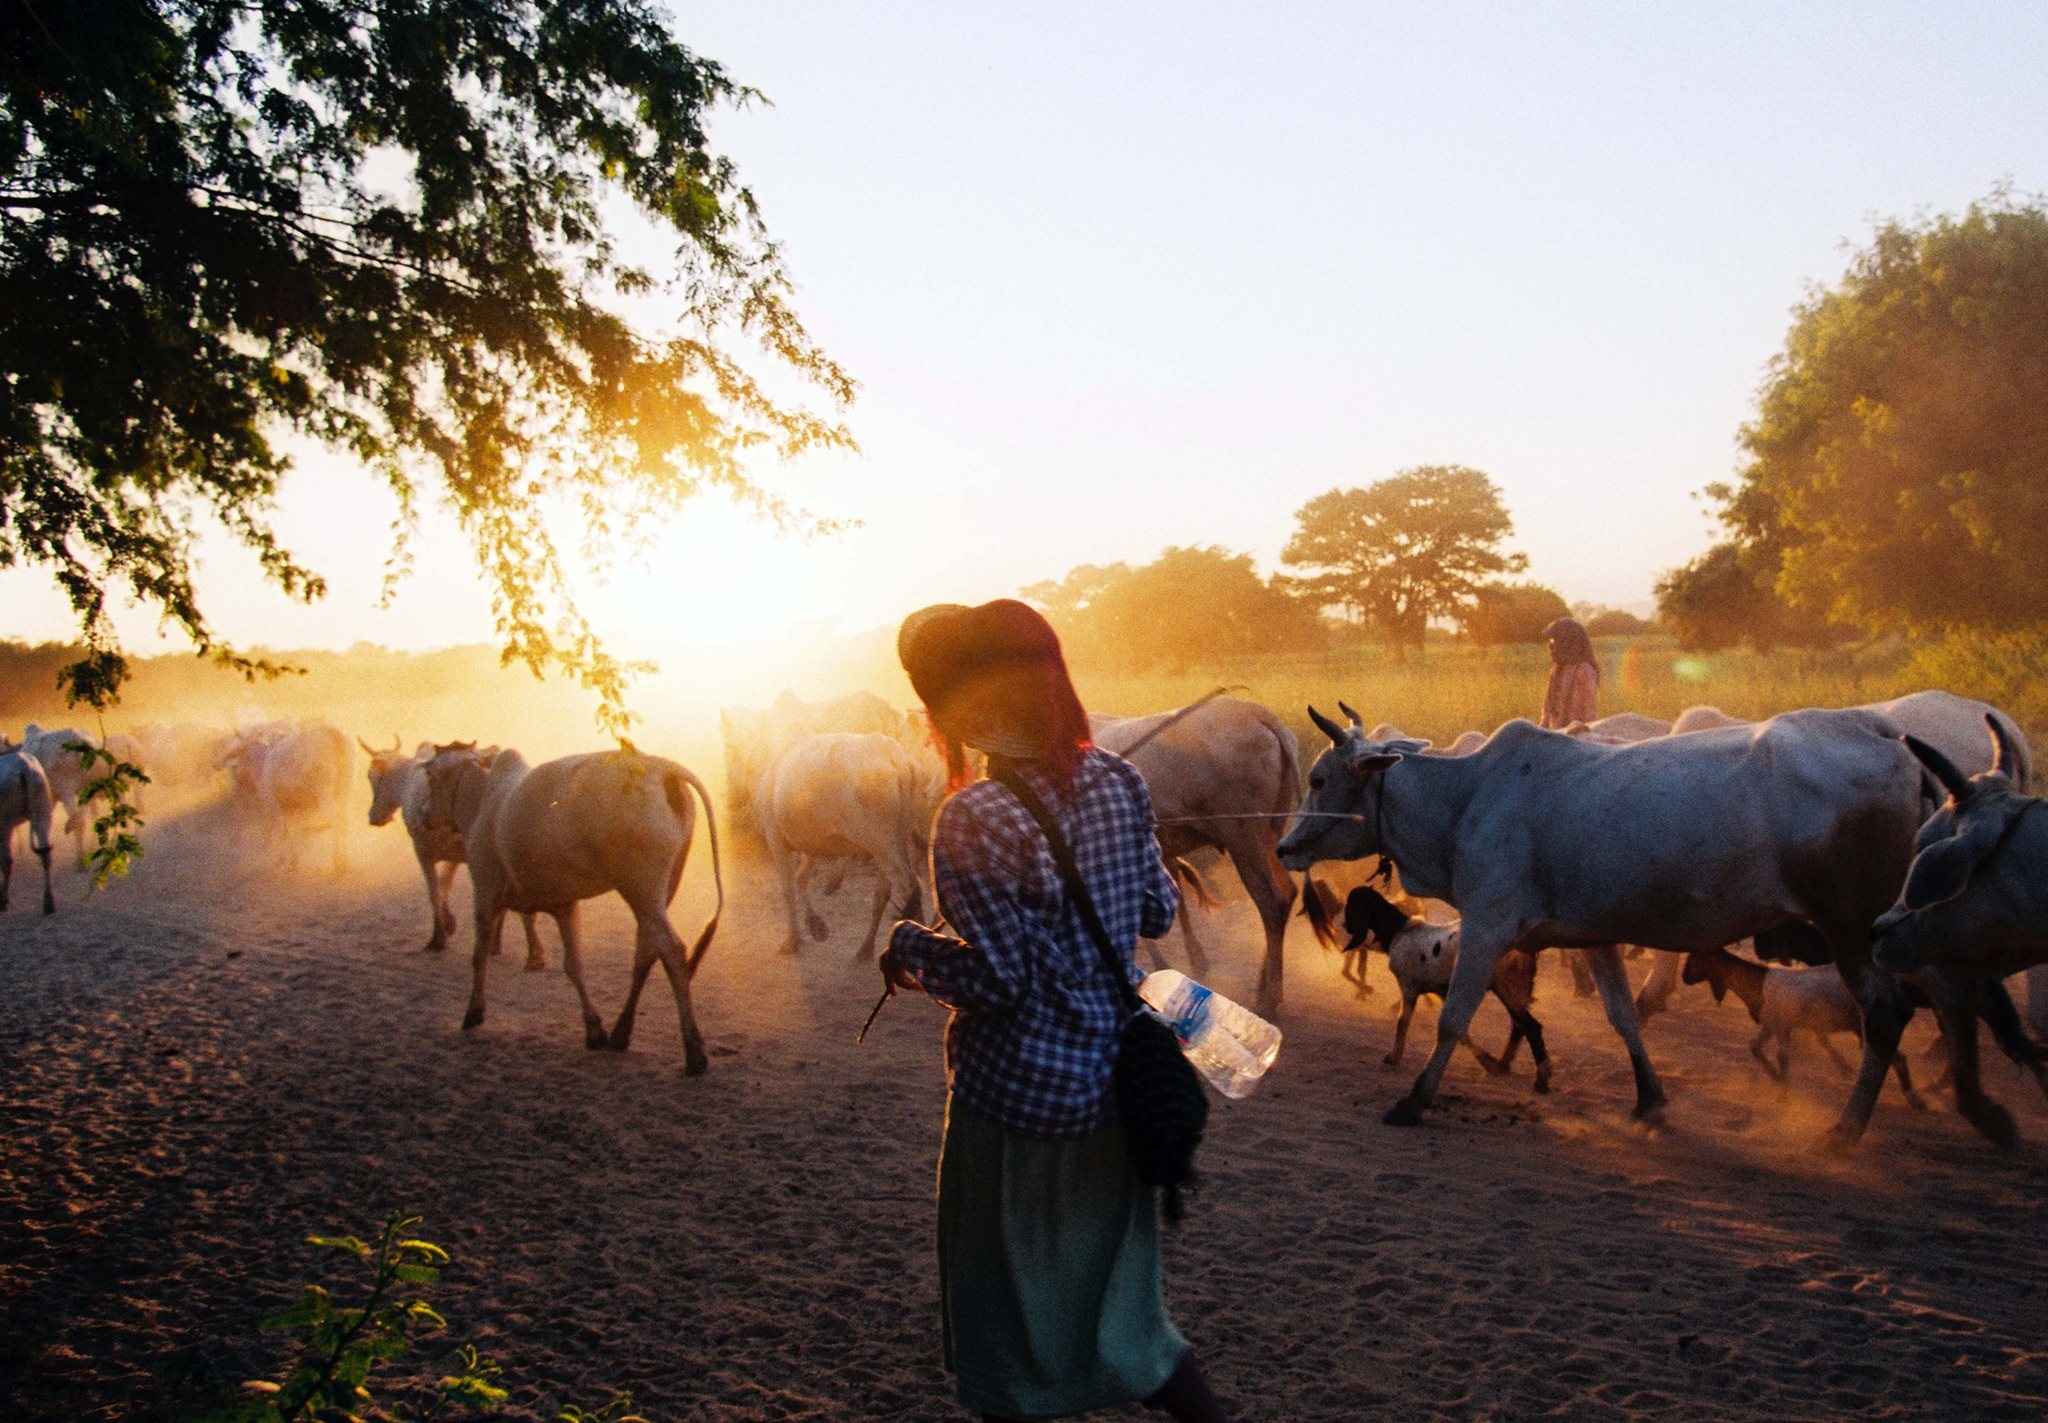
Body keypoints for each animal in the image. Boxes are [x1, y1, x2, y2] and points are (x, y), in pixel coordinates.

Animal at [423, 745, 729, 1064]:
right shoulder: (564, 906)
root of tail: (658, 766)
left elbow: (479, 955)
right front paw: (594, 1029)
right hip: (658, 892)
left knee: (671, 950)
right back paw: (621, 1034)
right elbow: (574, 966)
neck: (483, 798)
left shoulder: (484, 890)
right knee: (647, 949)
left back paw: (694, 1051)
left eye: (430, 775)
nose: (424, 815)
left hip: (640, 888)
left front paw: (473, 1012)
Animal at [757, 732, 937, 958]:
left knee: (909, 887)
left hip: (882, 844)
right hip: (893, 843)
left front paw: (794, 940)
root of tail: (897, 759)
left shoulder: (776, 840)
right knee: (884, 895)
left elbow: (788, 890)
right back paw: (866, 948)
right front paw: (816, 925)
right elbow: (801, 879)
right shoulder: (814, 847)